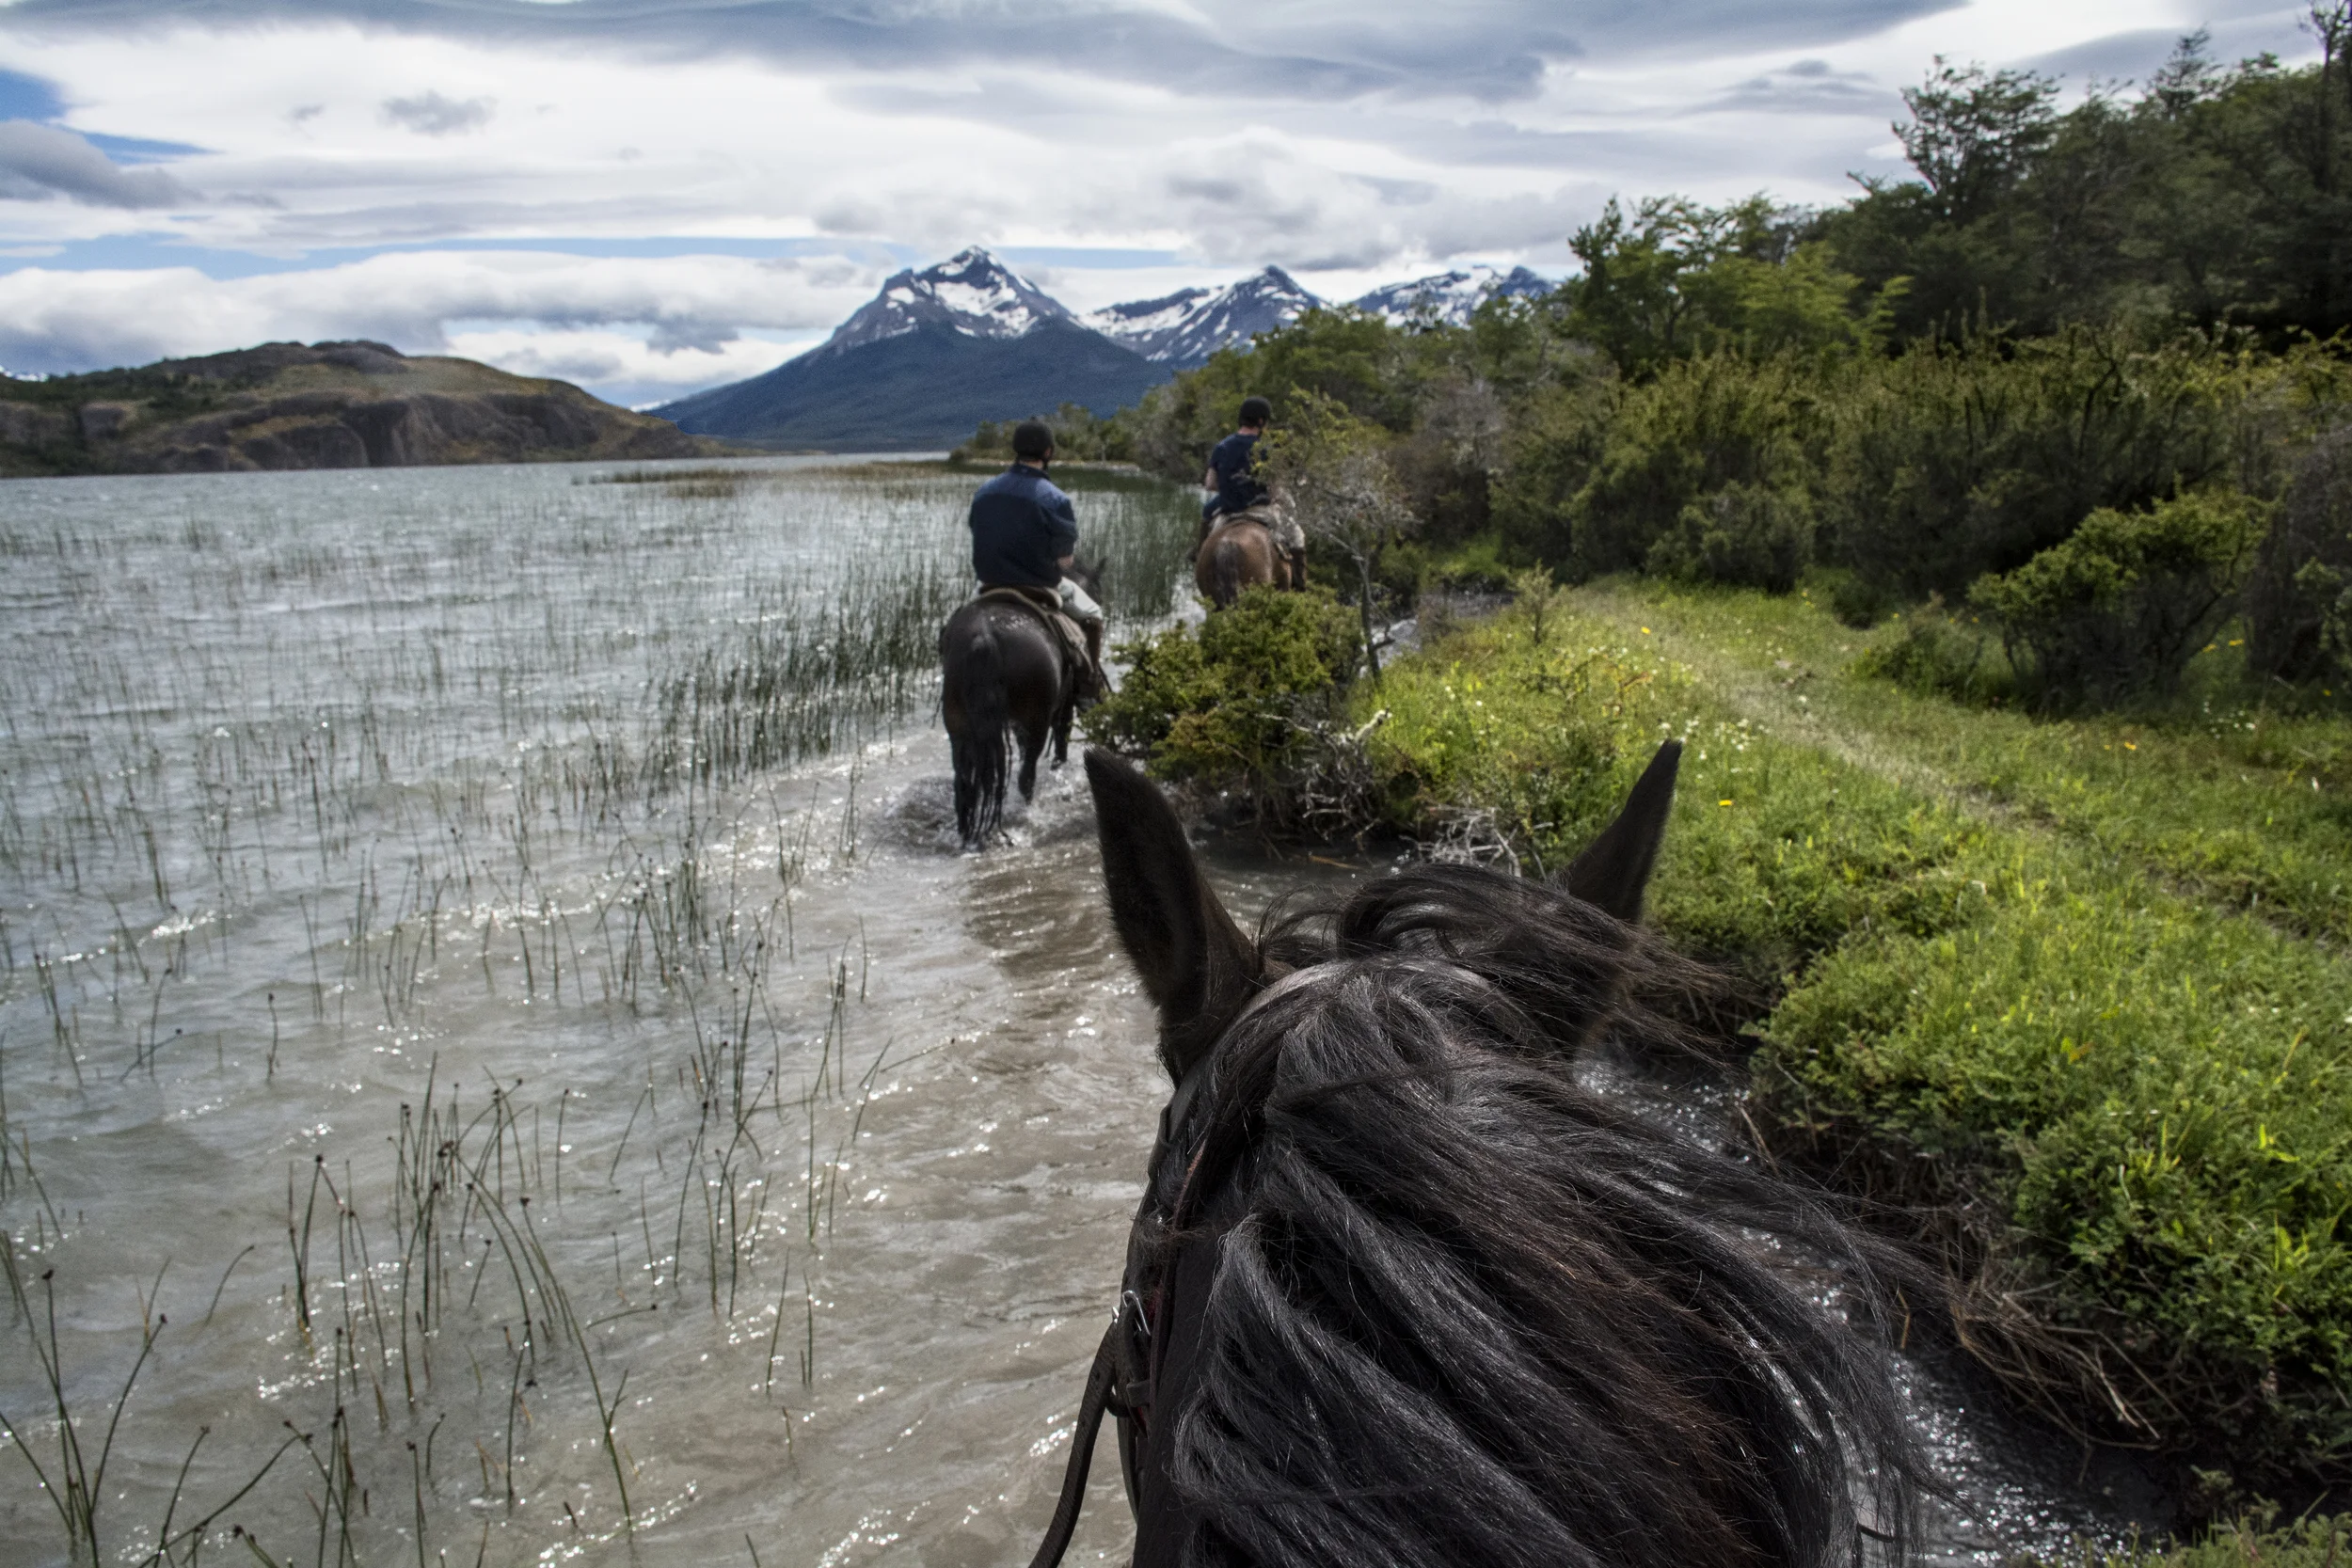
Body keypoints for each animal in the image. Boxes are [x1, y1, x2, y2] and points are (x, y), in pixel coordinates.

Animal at [939, 563, 1100, 850]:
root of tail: (984, 639)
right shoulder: (1063, 708)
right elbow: (1061, 743)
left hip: (958, 726)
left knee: (964, 783)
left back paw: (965, 833)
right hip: (1035, 722)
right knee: (1027, 775)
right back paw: (1025, 813)